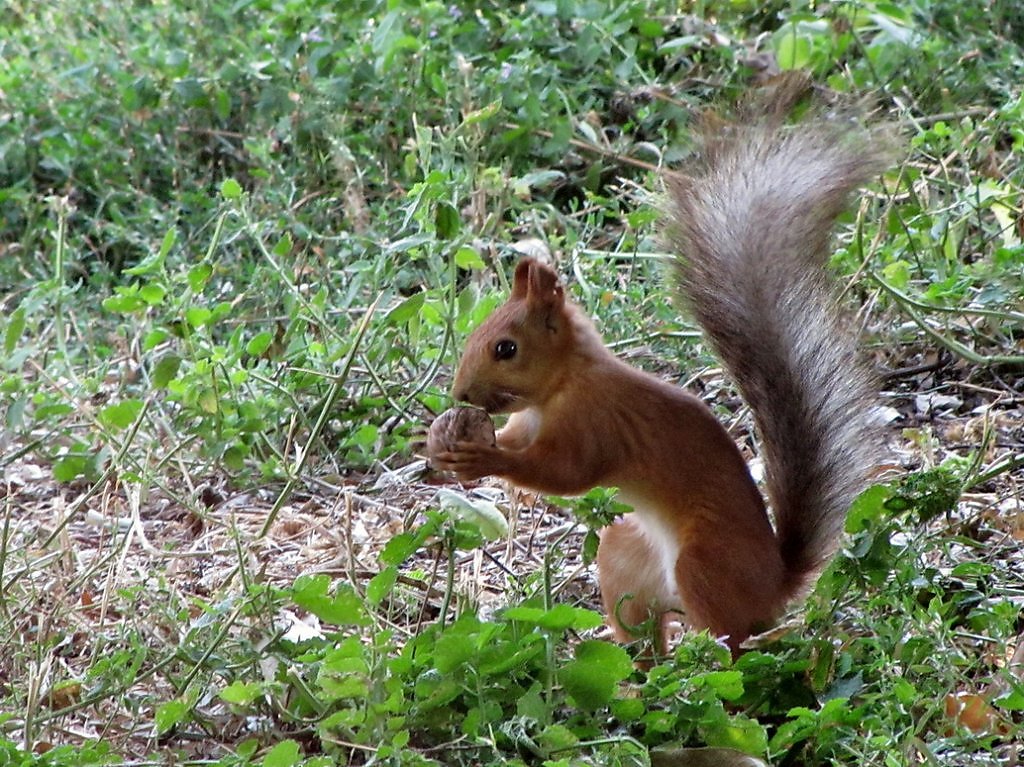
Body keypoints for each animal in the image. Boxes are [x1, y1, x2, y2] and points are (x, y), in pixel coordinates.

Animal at [430, 76, 888, 651]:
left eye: (505, 348)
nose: (461, 395)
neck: (562, 385)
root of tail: (775, 585)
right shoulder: (527, 422)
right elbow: (516, 442)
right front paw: (443, 440)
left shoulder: (595, 424)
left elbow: (564, 474)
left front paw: (482, 458)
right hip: (623, 560)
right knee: (646, 638)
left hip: (705, 565)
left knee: (735, 643)